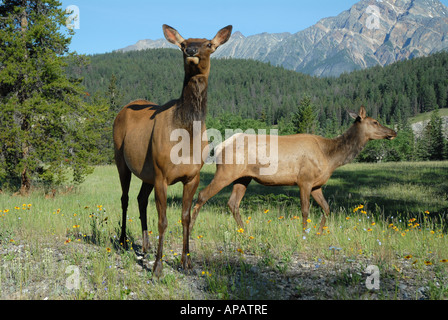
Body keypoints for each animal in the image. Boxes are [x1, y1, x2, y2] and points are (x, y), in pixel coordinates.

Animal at [112, 23, 233, 276]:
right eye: (184, 43)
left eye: (209, 44)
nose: (191, 51)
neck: (186, 137)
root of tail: (123, 109)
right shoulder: (162, 175)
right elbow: (163, 220)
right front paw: (158, 267)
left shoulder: (192, 177)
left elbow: (186, 218)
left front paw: (186, 262)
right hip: (121, 159)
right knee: (125, 197)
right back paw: (123, 241)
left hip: (146, 172)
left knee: (140, 198)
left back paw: (145, 246)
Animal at [188, 106, 396, 234]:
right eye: (375, 122)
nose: (393, 132)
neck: (331, 157)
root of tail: (219, 146)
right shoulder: (304, 180)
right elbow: (305, 210)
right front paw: (304, 234)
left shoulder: (317, 185)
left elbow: (327, 208)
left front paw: (319, 232)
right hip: (226, 172)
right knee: (202, 195)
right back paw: (190, 229)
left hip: (243, 177)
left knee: (233, 203)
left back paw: (245, 232)